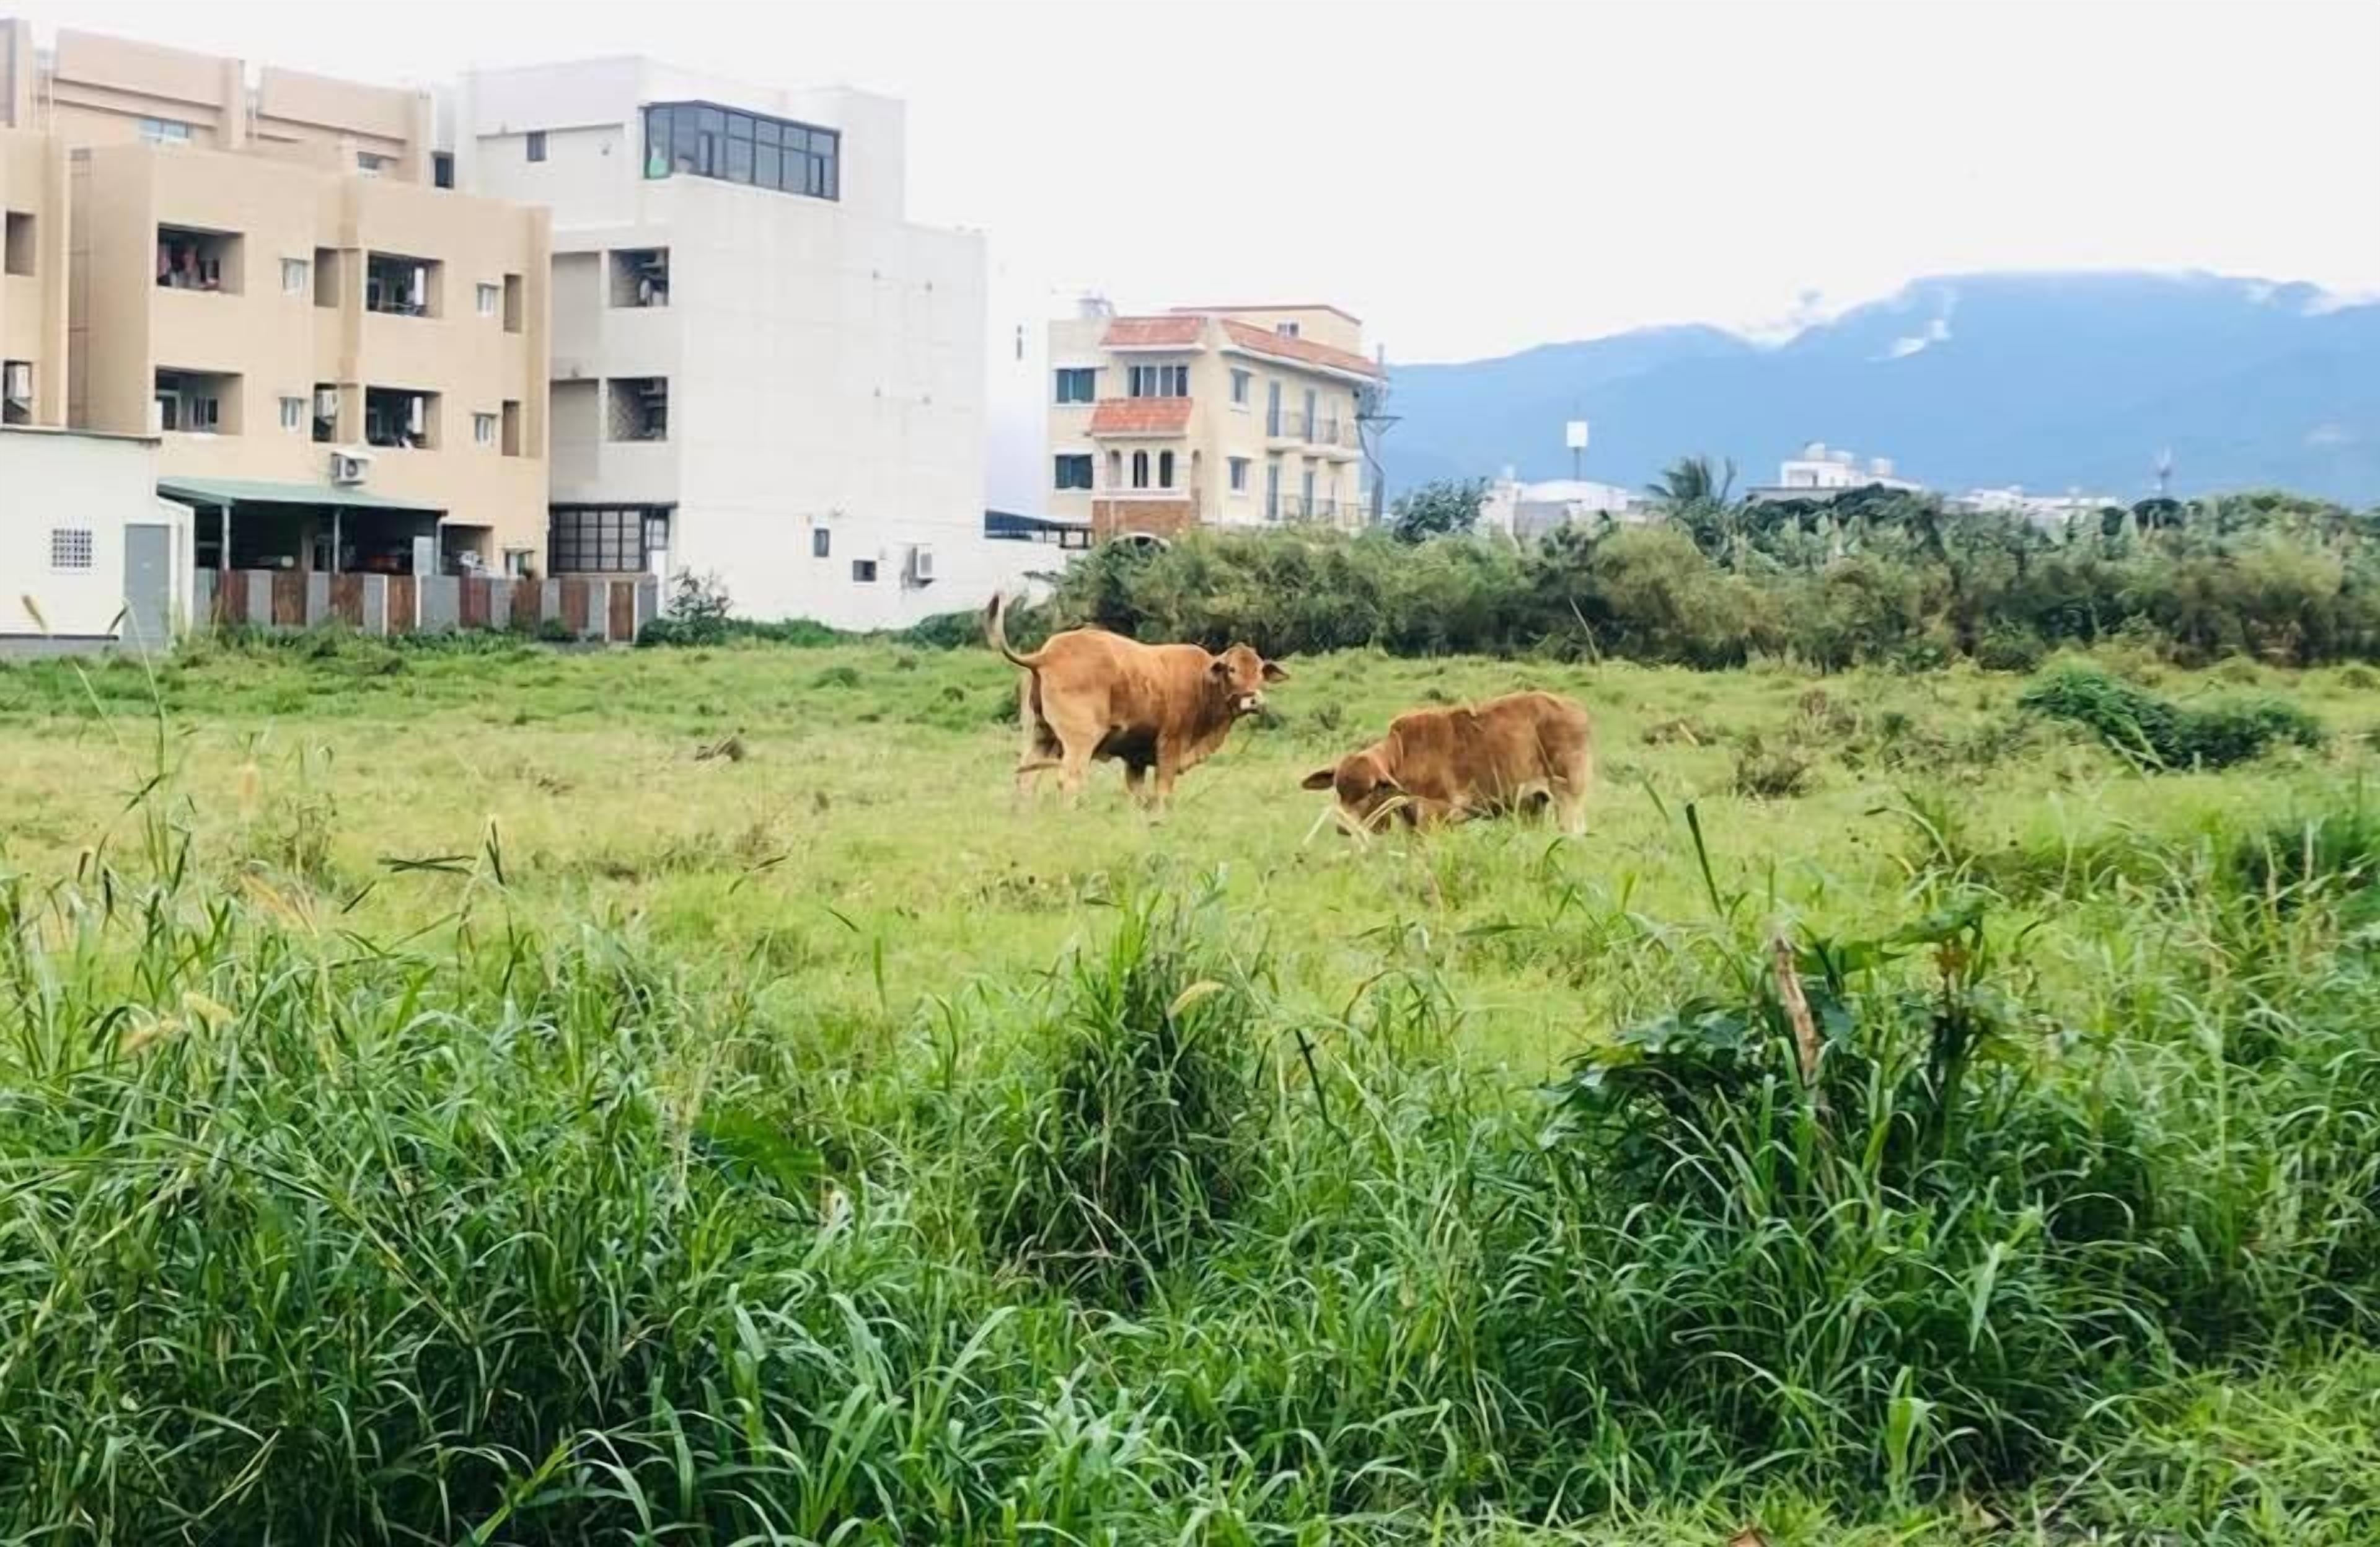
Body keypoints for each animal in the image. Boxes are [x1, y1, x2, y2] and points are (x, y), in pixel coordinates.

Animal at [985, 593, 1287, 805]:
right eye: (1232, 669)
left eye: (1259, 672)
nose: (1253, 701)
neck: (1203, 682)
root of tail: (1046, 654)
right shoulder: (1169, 747)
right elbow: (1162, 792)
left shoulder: (1136, 758)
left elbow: (1140, 795)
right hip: (1079, 740)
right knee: (1070, 778)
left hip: (1040, 735)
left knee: (1026, 779)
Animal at [1301, 690, 1593, 835]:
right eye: (1338, 789)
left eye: (1371, 789)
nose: (1343, 827)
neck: (1402, 755)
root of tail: (1576, 709)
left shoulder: (1436, 816)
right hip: (1532, 806)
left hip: (1569, 797)